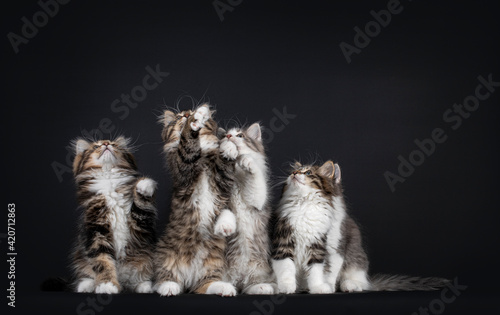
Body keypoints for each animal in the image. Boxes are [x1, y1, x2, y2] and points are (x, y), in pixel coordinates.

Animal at [70, 137, 156, 296]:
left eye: (114, 144)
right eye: (95, 146)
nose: (105, 144)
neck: (109, 180)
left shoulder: (139, 224)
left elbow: (141, 204)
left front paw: (144, 185)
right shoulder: (96, 232)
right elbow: (102, 262)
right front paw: (107, 285)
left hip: (146, 257)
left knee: (136, 279)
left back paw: (144, 285)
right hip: (80, 255)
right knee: (86, 273)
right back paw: (86, 285)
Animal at [155, 105, 241, 298]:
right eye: (179, 116)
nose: (188, 114)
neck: (202, 155)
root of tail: (190, 275)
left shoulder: (221, 180)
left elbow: (225, 163)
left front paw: (229, 148)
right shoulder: (182, 167)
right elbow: (186, 143)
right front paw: (193, 123)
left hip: (213, 264)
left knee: (205, 285)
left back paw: (224, 288)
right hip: (165, 256)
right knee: (166, 278)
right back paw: (168, 287)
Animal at [219, 124, 276, 296]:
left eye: (240, 135)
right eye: (224, 135)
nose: (229, 136)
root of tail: (237, 277)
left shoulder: (257, 199)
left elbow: (255, 179)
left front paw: (247, 161)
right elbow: (225, 214)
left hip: (258, 266)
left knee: (249, 286)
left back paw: (262, 287)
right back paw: (224, 288)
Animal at [274, 162, 450, 296]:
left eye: (309, 172)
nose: (295, 173)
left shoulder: (335, 247)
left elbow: (328, 271)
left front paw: (325, 286)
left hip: (356, 261)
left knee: (360, 281)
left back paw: (350, 285)